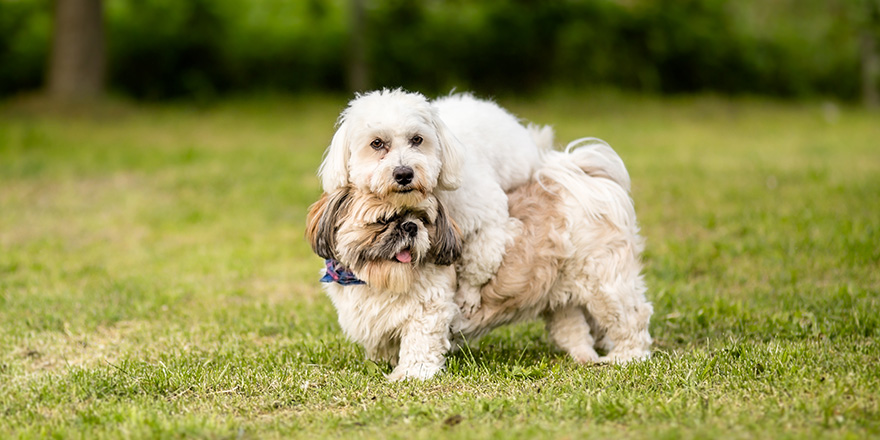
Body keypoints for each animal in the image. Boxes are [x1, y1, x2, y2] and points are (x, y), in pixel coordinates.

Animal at [316, 89, 544, 314]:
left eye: (417, 139)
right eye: (377, 143)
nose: (404, 174)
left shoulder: (488, 218)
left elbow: (480, 260)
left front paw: (468, 295)